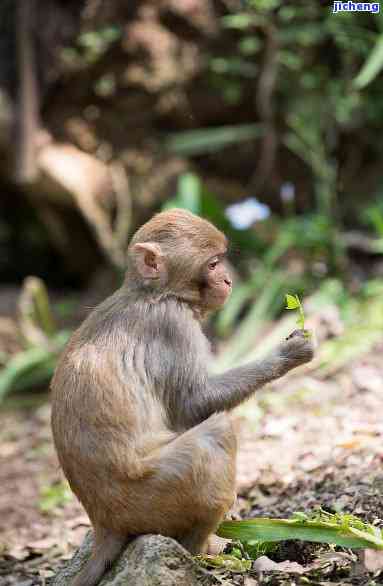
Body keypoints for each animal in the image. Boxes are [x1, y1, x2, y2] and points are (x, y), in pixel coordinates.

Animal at [51, 208, 316, 580]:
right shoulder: (172, 325)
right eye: (213, 264)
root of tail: (104, 522)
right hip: (153, 496)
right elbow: (194, 403)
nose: (228, 281)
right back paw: (201, 551)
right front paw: (287, 355)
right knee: (215, 435)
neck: (153, 292)